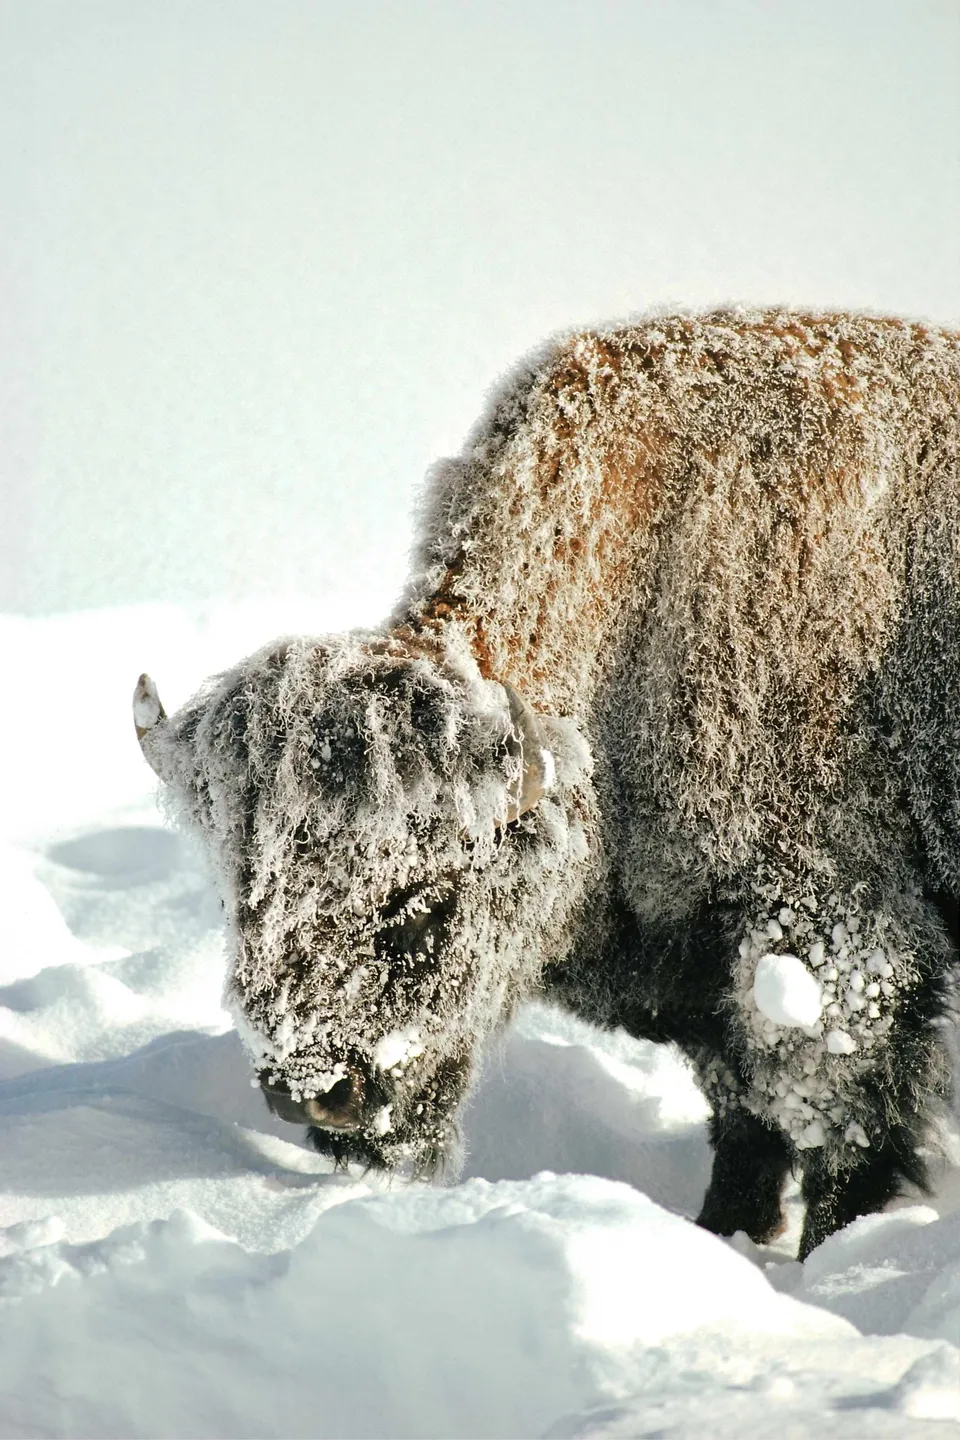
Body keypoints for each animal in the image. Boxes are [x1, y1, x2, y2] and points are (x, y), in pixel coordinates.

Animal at [135, 309, 960, 1259]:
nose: (313, 1093)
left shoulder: (830, 936)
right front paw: (723, 1233)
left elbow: (835, 1129)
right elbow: (744, 1121)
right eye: (241, 896)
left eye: (427, 904)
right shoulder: (698, 970)